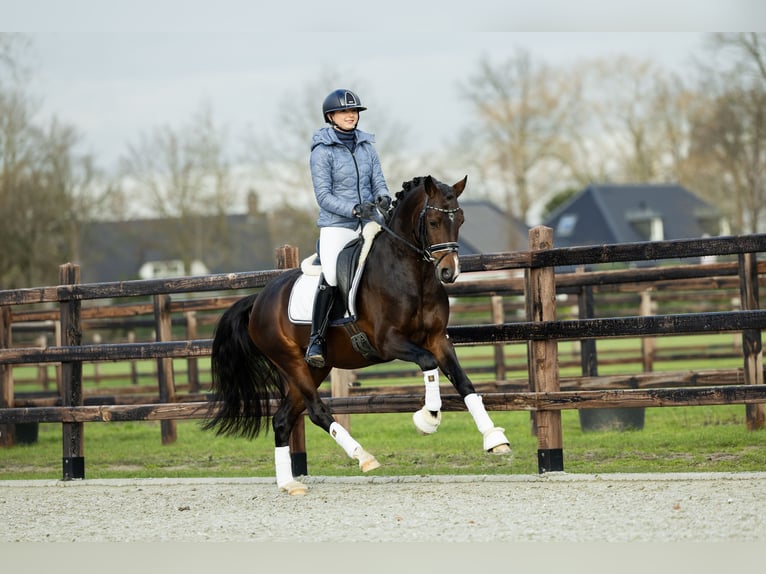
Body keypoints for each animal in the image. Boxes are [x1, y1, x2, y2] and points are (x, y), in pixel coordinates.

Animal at [204, 174, 510, 496]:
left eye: (460, 219)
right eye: (434, 221)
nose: (450, 272)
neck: (412, 275)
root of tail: (259, 299)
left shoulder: (438, 339)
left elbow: (464, 383)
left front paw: (494, 438)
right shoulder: (389, 342)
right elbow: (428, 364)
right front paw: (427, 419)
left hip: (315, 368)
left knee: (282, 420)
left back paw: (290, 483)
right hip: (291, 362)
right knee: (316, 411)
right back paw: (363, 457)